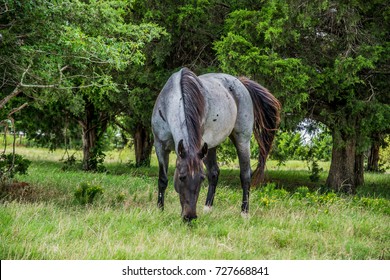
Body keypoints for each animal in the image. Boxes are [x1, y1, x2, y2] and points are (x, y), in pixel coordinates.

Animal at [151, 68, 282, 221]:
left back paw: (244, 212)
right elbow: (163, 179)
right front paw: (160, 210)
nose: (190, 217)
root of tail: (240, 82)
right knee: (214, 172)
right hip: (210, 146)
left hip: (242, 140)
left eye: (201, 179)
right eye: (181, 177)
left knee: (245, 175)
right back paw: (208, 208)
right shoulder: (160, 146)